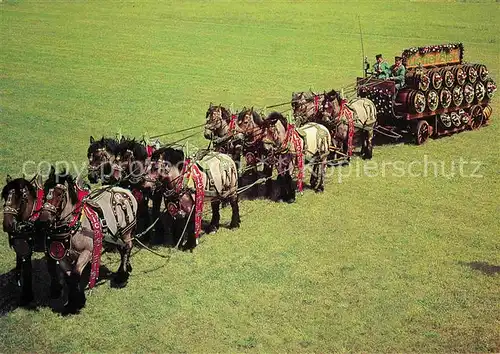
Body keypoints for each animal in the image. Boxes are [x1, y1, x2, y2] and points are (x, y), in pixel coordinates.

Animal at [1, 176, 61, 306]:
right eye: (5, 197)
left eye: (21, 198)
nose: (7, 225)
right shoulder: (24, 247)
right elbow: (27, 270)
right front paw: (26, 295)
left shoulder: (48, 245)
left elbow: (51, 267)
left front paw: (56, 290)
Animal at [36, 168, 139, 312]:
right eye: (44, 192)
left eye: (59, 194)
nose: (44, 220)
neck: (73, 226)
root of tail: (124, 191)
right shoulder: (61, 255)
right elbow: (69, 277)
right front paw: (72, 302)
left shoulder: (87, 252)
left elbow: (75, 274)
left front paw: (77, 302)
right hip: (116, 236)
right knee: (123, 250)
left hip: (126, 232)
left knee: (127, 248)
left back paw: (121, 277)